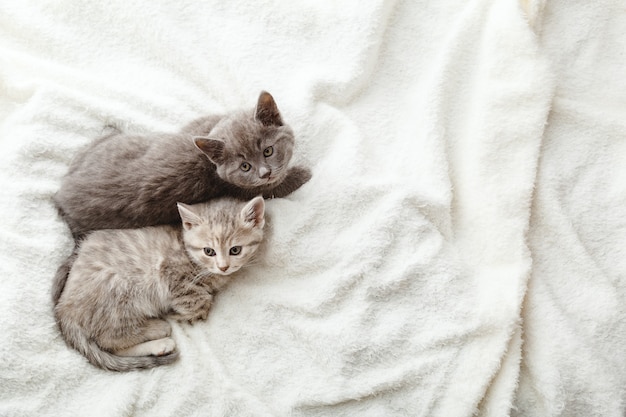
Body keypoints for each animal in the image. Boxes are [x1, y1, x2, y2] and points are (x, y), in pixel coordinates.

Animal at [53, 197, 264, 372]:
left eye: (235, 250)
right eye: (209, 251)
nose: (223, 267)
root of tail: (63, 309)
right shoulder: (171, 274)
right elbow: (200, 299)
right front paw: (189, 313)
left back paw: (159, 346)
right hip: (119, 293)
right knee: (110, 338)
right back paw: (158, 330)